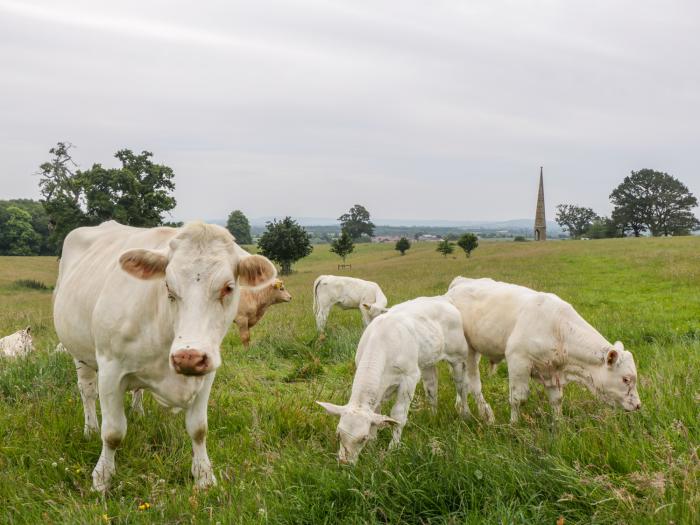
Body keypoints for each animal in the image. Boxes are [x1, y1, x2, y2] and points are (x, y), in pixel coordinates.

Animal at [53, 220, 276, 492]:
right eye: (168, 286)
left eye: (228, 287)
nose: (188, 356)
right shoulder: (110, 369)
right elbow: (113, 433)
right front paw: (102, 478)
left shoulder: (207, 371)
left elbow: (198, 429)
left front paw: (204, 477)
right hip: (79, 353)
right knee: (87, 392)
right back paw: (90, 429)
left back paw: (137, 411)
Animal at [318, 294, 492, 462]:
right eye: (338, 434)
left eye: (362, 438)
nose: (344, 462)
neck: (382, 342)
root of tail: (443, 300)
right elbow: (377, 414)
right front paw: (373, 445)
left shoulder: (409, 379)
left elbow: (398, 416)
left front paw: (393, 448)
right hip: (427, 362)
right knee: (432, 388)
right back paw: (433, 415)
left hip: (457, 357)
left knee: (461, 387)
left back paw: (465, 414)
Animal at [448, 276, 640, 424]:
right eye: (625, 379)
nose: (638, 405)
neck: (558, 329)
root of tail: (460, 282)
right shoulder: (517, 361)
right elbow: (517, 398)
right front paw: (513, 424)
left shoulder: (552, 371)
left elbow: (557, 400)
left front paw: (559, 425)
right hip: (468, 351)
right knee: (471, 384)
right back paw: (480, 414)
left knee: (463, 383)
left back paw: (460, 408)